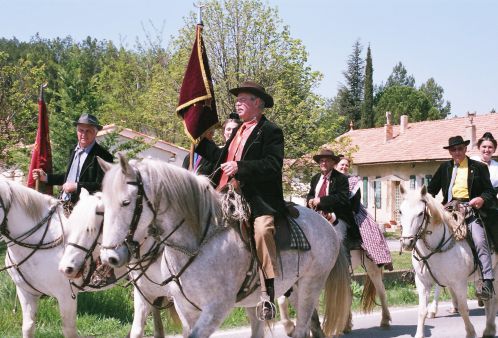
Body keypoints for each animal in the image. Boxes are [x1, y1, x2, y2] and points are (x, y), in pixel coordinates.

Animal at [98, 156, 350, 338]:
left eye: (126, 202)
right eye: (102, 206)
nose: (109, 258)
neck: (197, 243)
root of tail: (327, 225)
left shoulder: (215, 310)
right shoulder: (181, 307)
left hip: (310, 285)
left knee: (301, 328)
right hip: (287, 289)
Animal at [400, 185, 498, 338]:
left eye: (421, 213)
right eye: (400, 211)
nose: (406, 243)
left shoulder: (459, 283)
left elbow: (464, 309)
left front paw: (470, 332)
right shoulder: (422, 282)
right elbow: (422, 310)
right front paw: (420, 333)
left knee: (493, 299)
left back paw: (489, 329)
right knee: (489, 300)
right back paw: (489, 329)